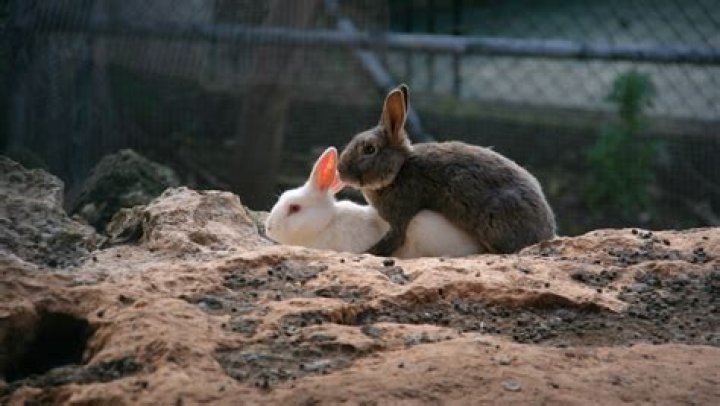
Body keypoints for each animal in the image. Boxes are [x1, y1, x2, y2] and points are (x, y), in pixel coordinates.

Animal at [337, 84, 556, 256]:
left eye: (369, 149)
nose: (340, 170)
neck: (398, 170)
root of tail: (547, 230)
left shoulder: (401, 214)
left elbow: (392, 241)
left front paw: (363, 253)